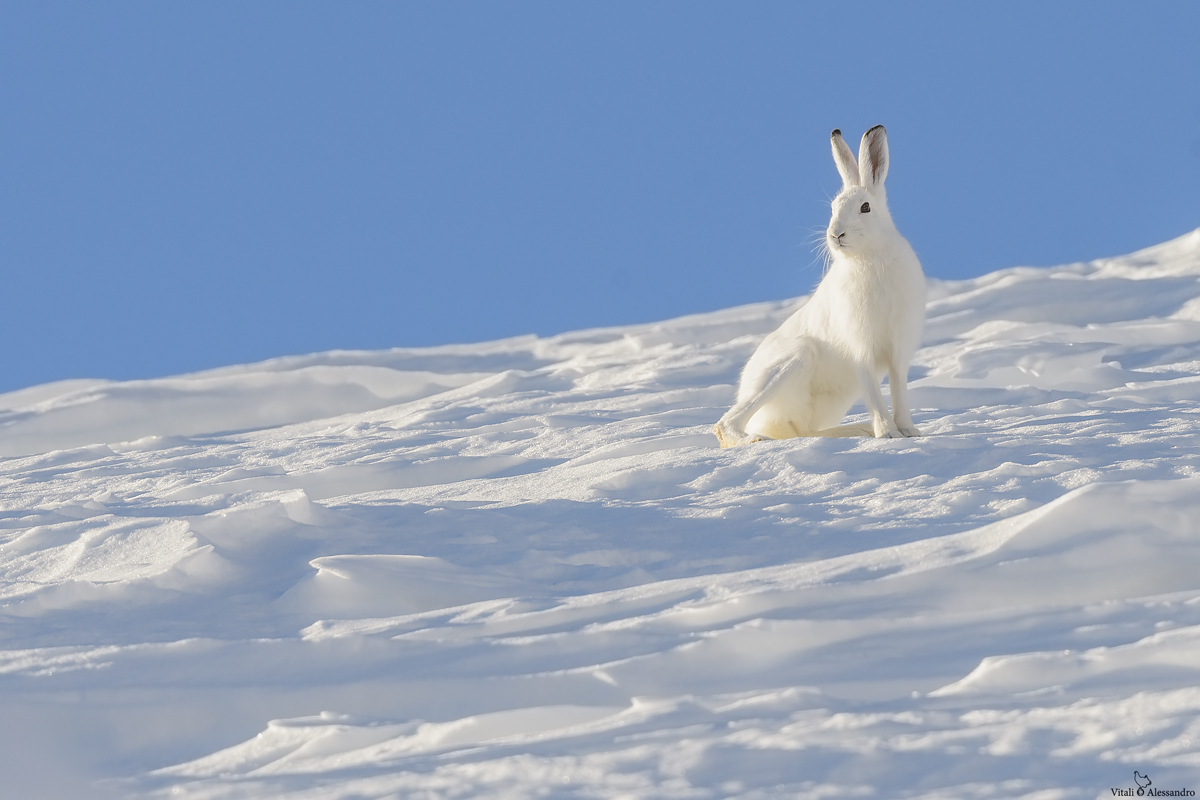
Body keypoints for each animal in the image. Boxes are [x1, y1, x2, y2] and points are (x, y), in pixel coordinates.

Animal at [713, 125, 926, 448]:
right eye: (833, 208)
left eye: (865, 207)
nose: (835, 234)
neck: (869, 256)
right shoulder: (860, 346)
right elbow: (874, 392)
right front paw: (888, 432)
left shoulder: (899, 347)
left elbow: (898, 388)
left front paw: (909, 431)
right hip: (793, 359)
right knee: (728, 423)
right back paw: (751, 440)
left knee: (804, 431)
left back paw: (856, 430)